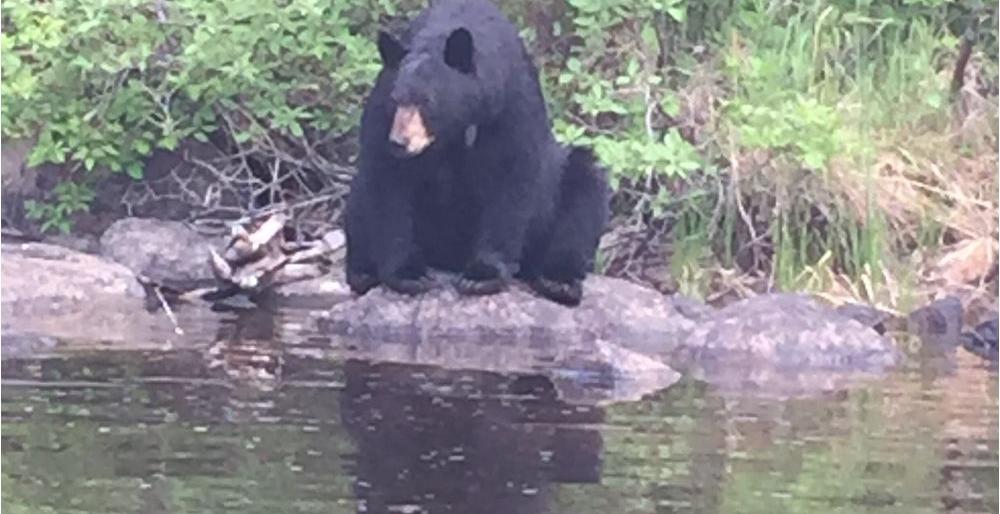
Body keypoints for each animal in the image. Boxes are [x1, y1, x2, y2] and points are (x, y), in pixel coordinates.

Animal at [344, 0, 609, 306]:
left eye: (427, 101)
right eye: (396, 100)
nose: (400, 142)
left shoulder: (511, 104)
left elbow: (513, 177)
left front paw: (482, 275)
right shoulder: (382, 111)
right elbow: (387, 181)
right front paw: (409, 274)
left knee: (585, 190)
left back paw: (558, 281)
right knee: (358, 200)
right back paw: (363, 272)